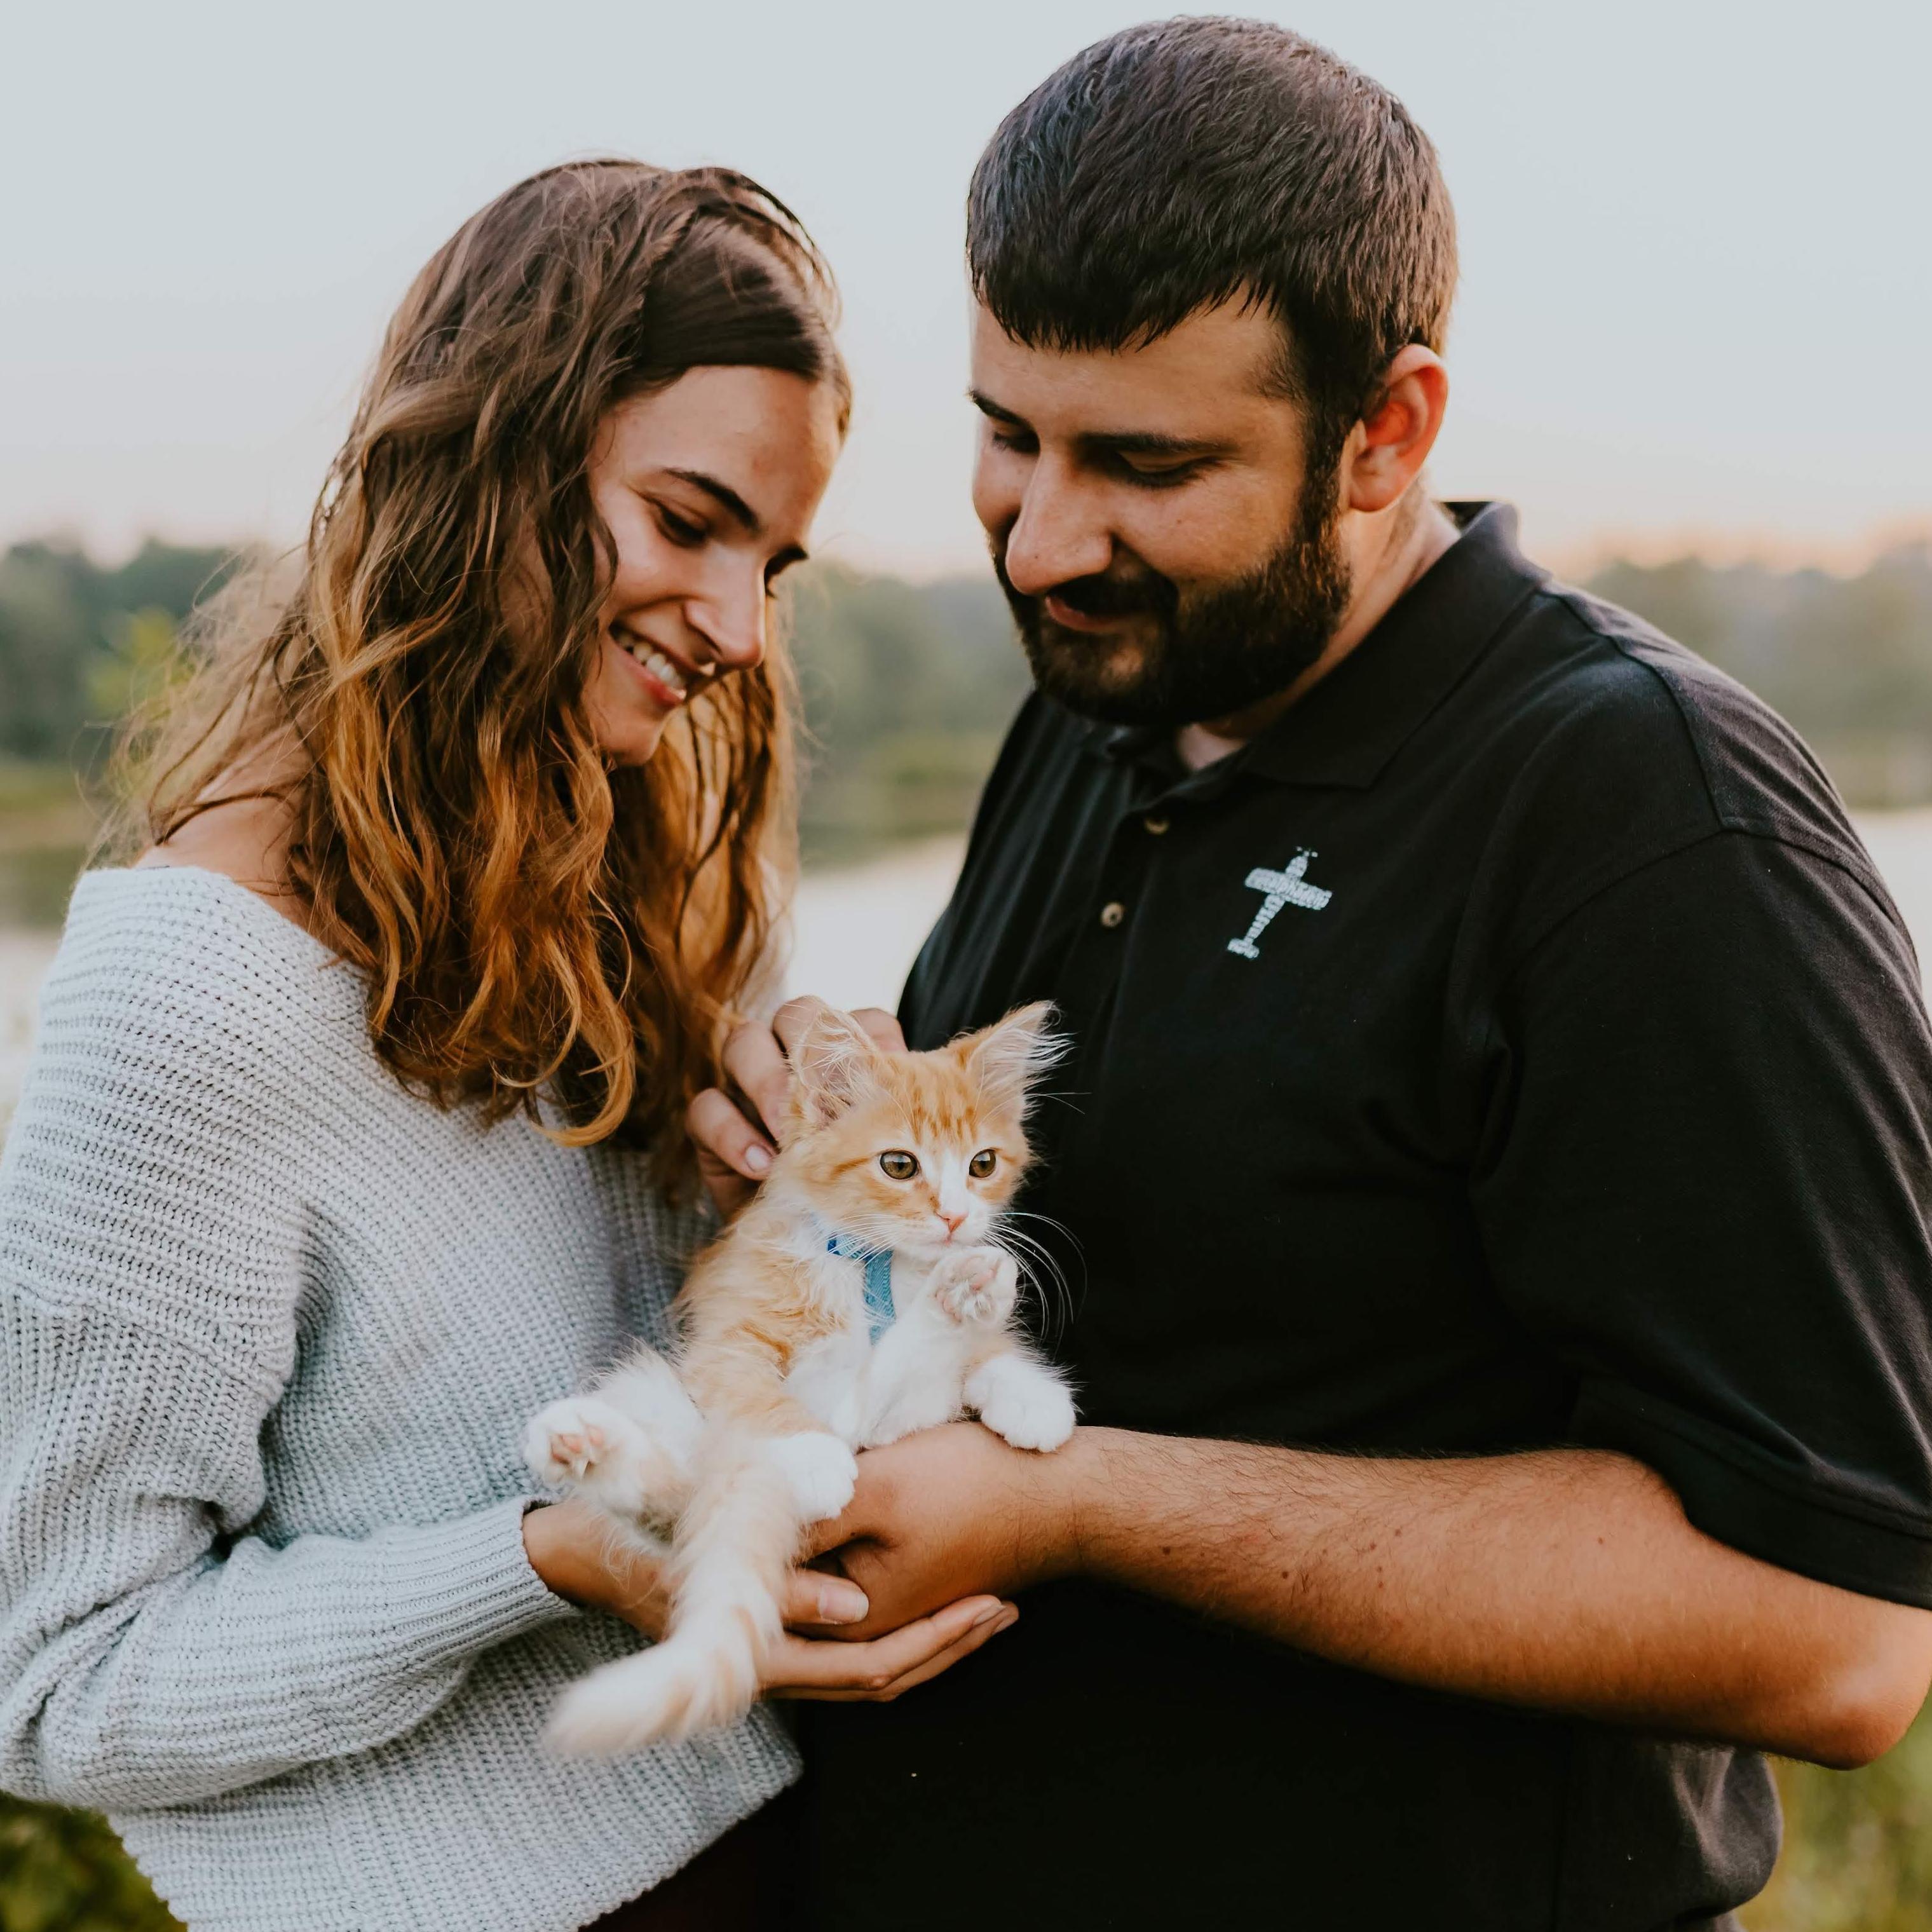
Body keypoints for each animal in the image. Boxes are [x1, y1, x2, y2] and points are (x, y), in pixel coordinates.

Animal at [521, 997, 1082, 1754]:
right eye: (899, 1164)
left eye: (983, 1163)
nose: (956, 1217)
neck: (878, 1268)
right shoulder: (729, 1345)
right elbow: (775, 1393)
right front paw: (809, 1453)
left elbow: (972, 1358)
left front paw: (1026, 1387)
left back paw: (582, 1445)